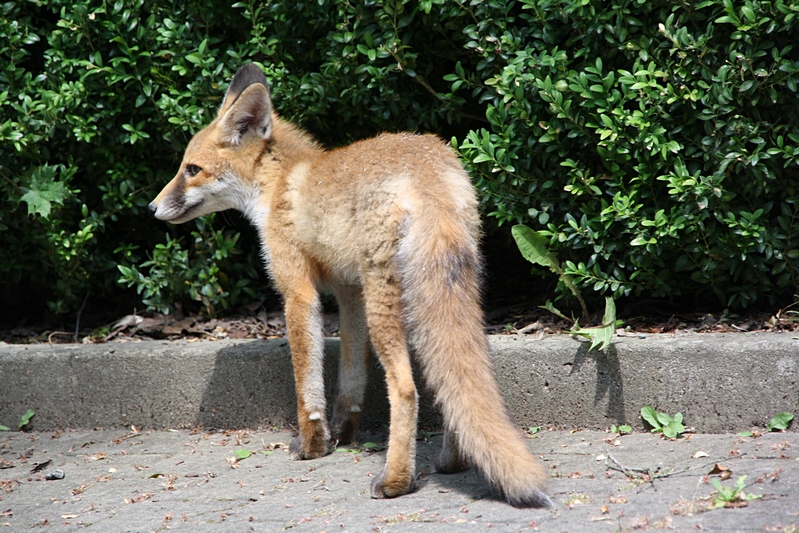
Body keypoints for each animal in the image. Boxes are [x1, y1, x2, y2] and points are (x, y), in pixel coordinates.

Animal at [149, 63, 552, 508]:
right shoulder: (349, 294)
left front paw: (313, 444)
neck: (279, 185)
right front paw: (343, 432)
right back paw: (453, 461)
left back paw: (395, 481)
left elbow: (307, 382)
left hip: (386, 302)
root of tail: (429, 175)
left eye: (191, 170)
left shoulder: (298, 290)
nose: (152, 208)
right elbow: (350, 376)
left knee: (406, 389)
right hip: (439, 296)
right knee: (453, 378)